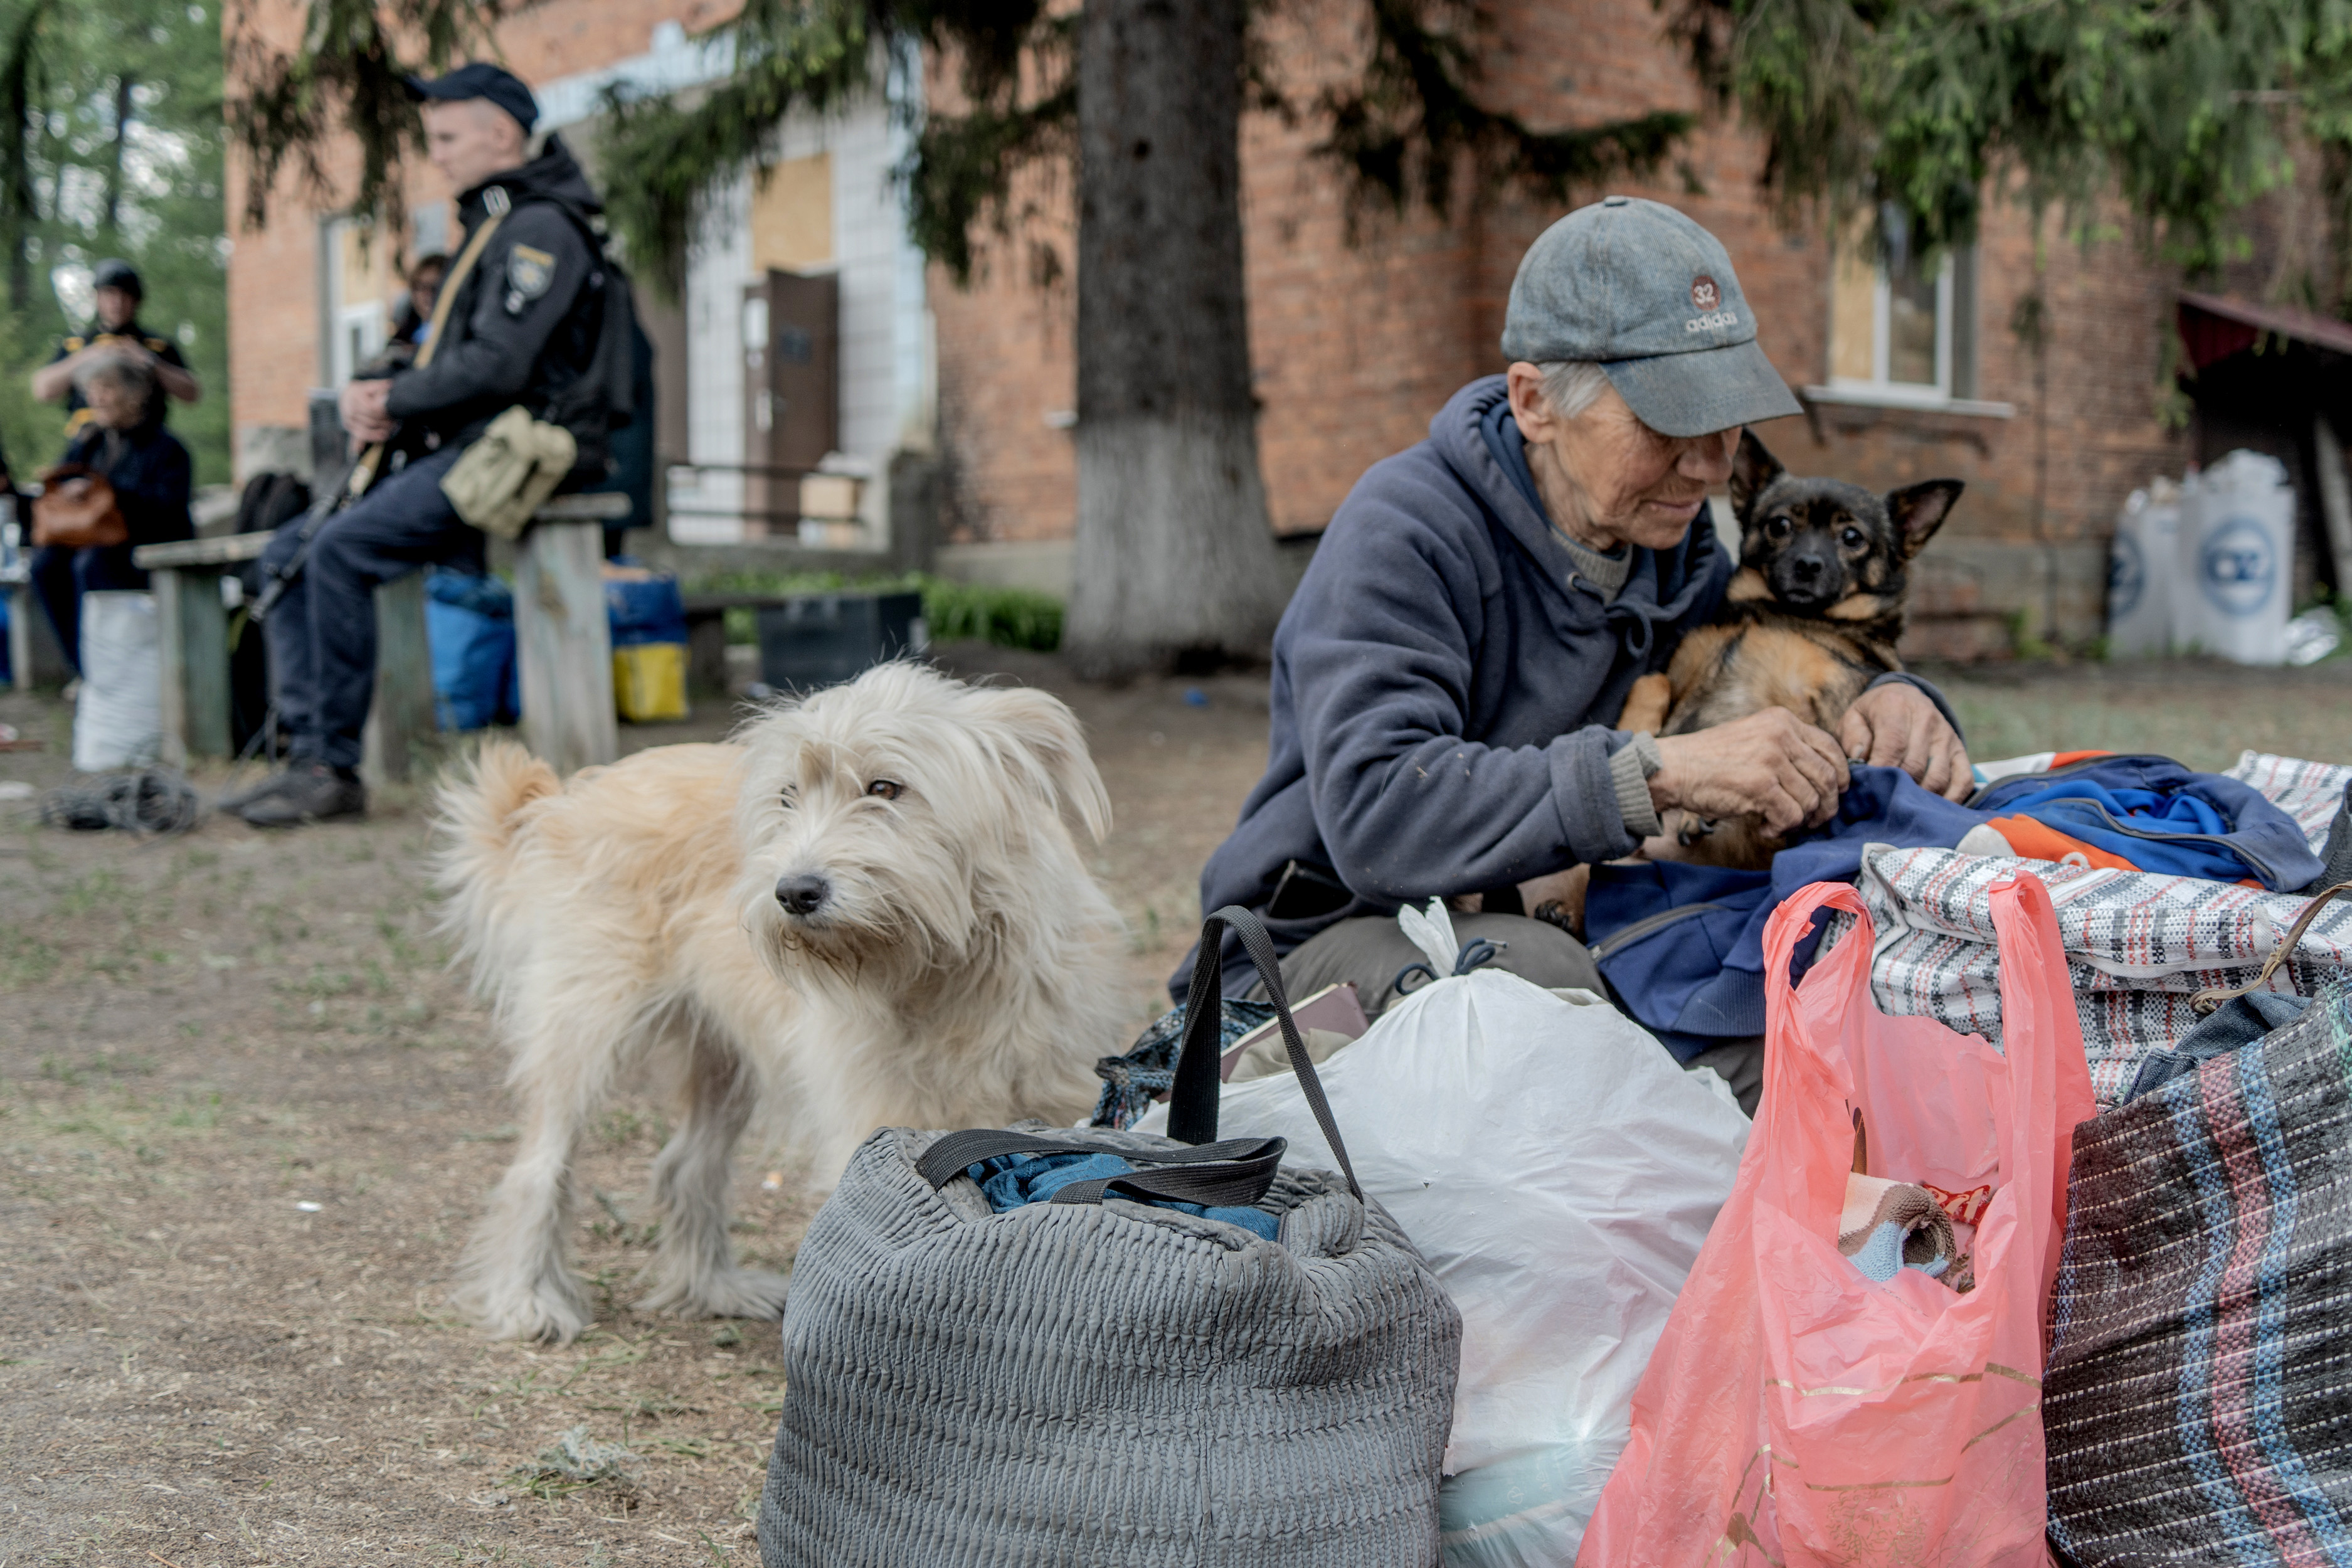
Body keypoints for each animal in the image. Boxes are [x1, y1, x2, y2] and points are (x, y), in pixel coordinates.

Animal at [442, 667, 1138, 1344]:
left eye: (885, 788)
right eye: (787, 797)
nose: (793, 892)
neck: (942, 969)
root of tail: (571, 795)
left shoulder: (1048, 1093)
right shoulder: (875, 1115)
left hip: (723, 1059)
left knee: (687, 1166)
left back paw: (714, 1290)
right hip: (584, 1024)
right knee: (539, 1166)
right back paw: (527, 1299)